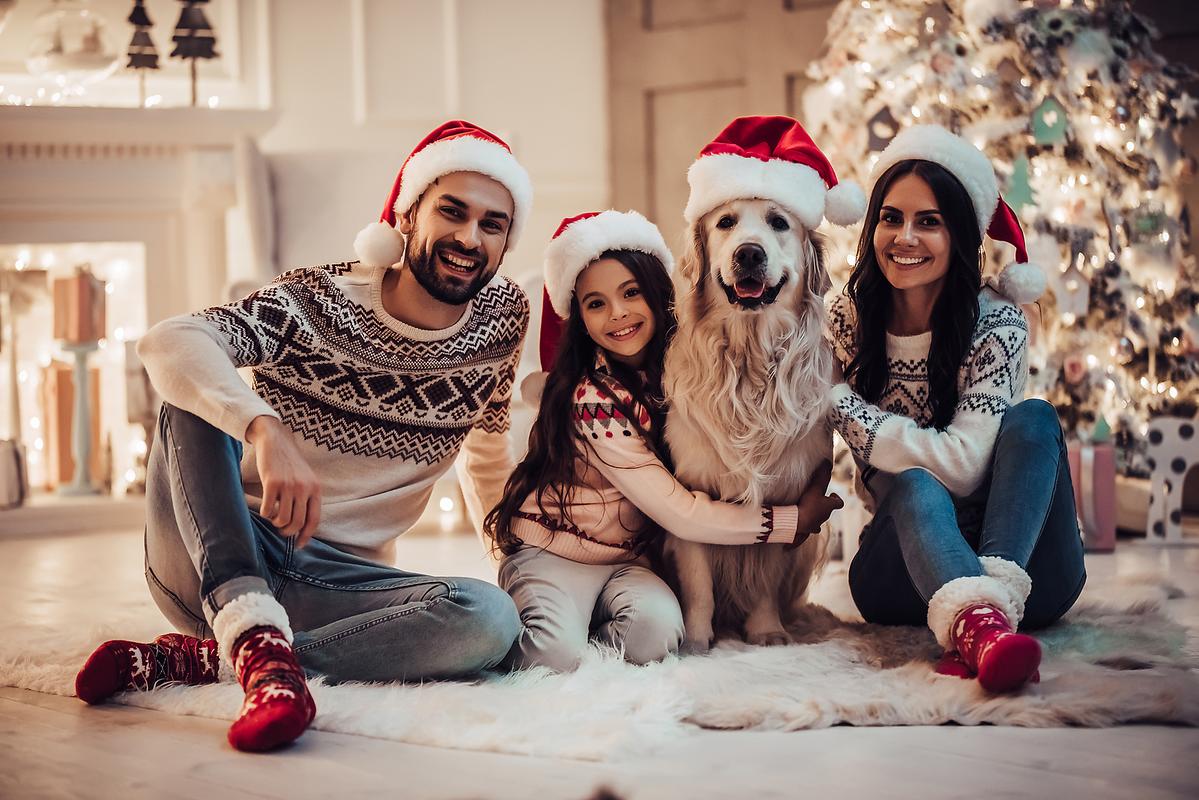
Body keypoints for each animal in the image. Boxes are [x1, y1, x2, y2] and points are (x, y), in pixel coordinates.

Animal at [666, 199, 834, 652]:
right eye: (725, 222)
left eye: (779, 222)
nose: (749, 254)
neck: (749, 358)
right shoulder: (692, 495)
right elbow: (699, 586)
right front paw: (696, 640)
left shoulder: (786, 498)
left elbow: (764, 579)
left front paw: (765, 631)